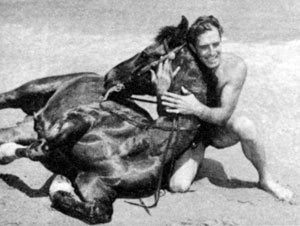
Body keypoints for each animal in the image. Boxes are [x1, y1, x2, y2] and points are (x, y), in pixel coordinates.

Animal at [0, 16, 209, 224]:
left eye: (145, 53)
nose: (110, 75)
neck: (146, 144)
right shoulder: (79, 119)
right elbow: (39, 149)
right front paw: (7, 155)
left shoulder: (91, 180)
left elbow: (100, 211)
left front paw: (60, 184)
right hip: (30, 89)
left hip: (24, 129)